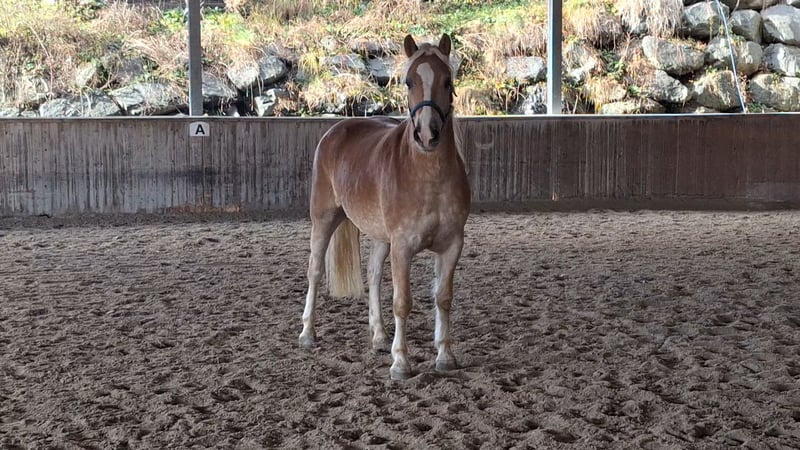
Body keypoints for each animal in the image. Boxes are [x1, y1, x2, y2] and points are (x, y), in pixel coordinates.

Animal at [298, 34, 470, 380]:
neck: (427, 177)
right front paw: (401, 362)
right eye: (409, 81)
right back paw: (308, 333)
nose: (428, 134)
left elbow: (443, 298)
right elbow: (402, 301)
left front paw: (445, 356)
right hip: (323, 219)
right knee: (315, 270)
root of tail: (336, 131)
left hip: (380, 236)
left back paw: (378, 336)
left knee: (374, 274)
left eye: (447, 81)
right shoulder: (402, 247)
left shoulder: (451, 245)